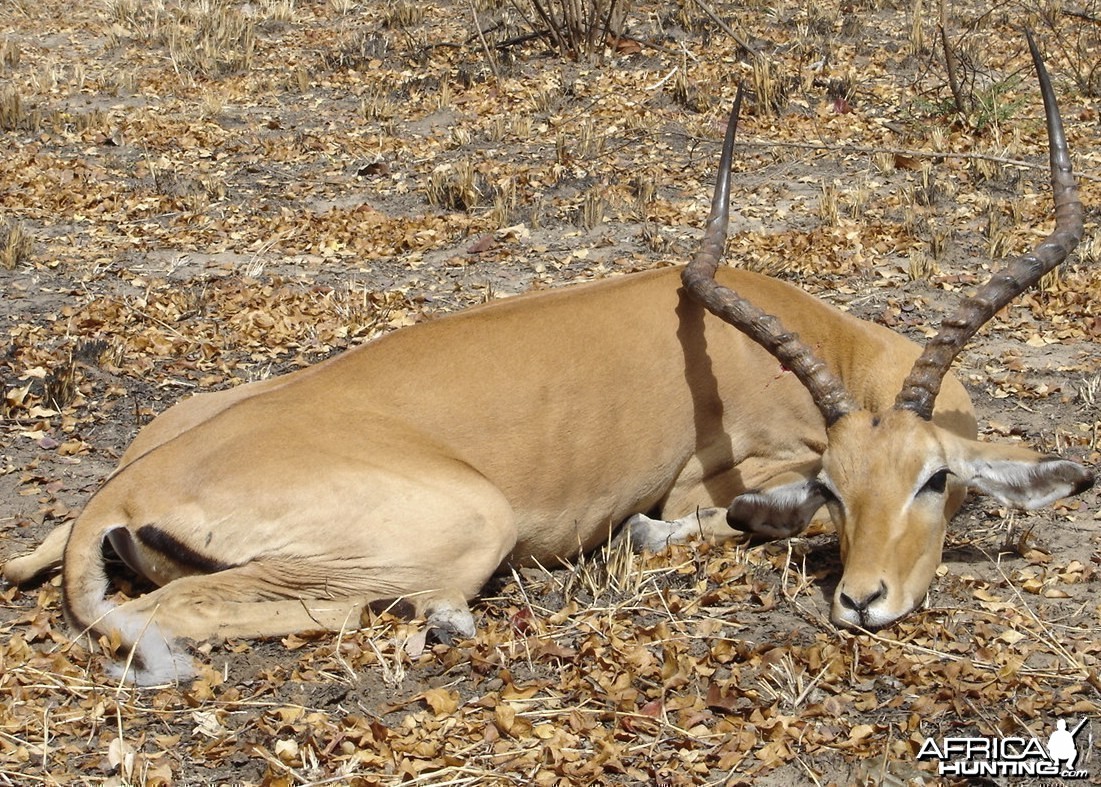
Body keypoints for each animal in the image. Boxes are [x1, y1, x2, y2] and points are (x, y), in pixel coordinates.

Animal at [4, 39, 1092, 686]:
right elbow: (688, 524)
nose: (864, 601)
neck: (830, 343)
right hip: (459, 529)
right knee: (194, 608)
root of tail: (122, 491)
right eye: (836, 486)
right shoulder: (724, 477)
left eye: (932, 480)